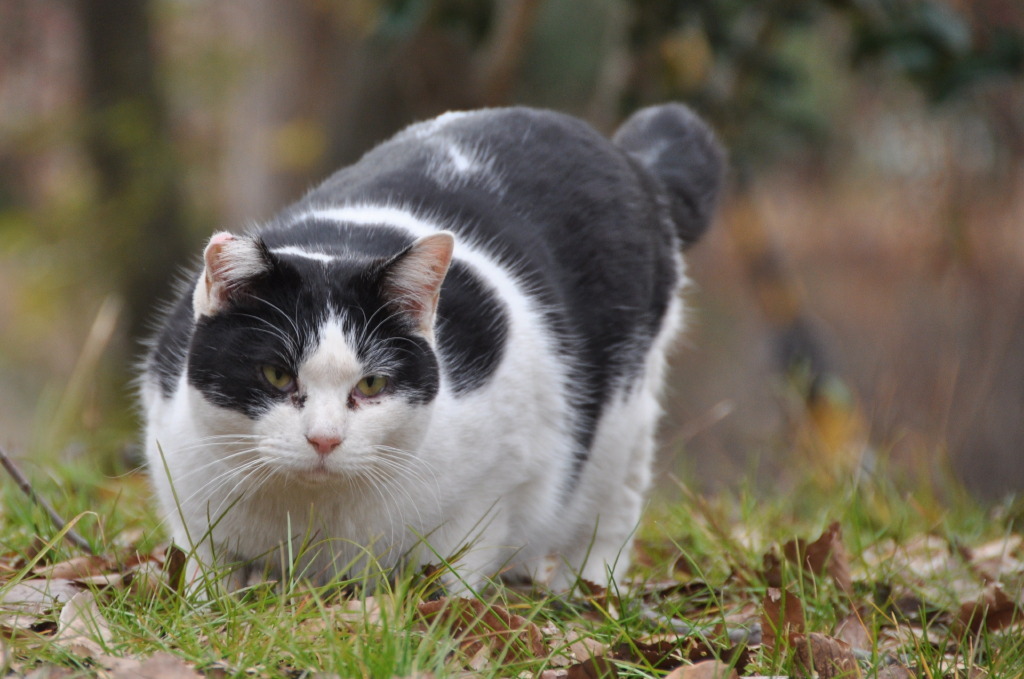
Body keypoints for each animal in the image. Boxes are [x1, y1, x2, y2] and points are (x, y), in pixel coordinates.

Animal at [140, 103, 724, 593]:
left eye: (372, 383)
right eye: (278, 376)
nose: (325, 440)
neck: (310, 515)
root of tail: (628, 157)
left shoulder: (498, 482)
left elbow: (451, 581)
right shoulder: (187, 501)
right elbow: (206, 580)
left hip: (623, 424)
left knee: (612, 511)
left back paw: (585, 594)